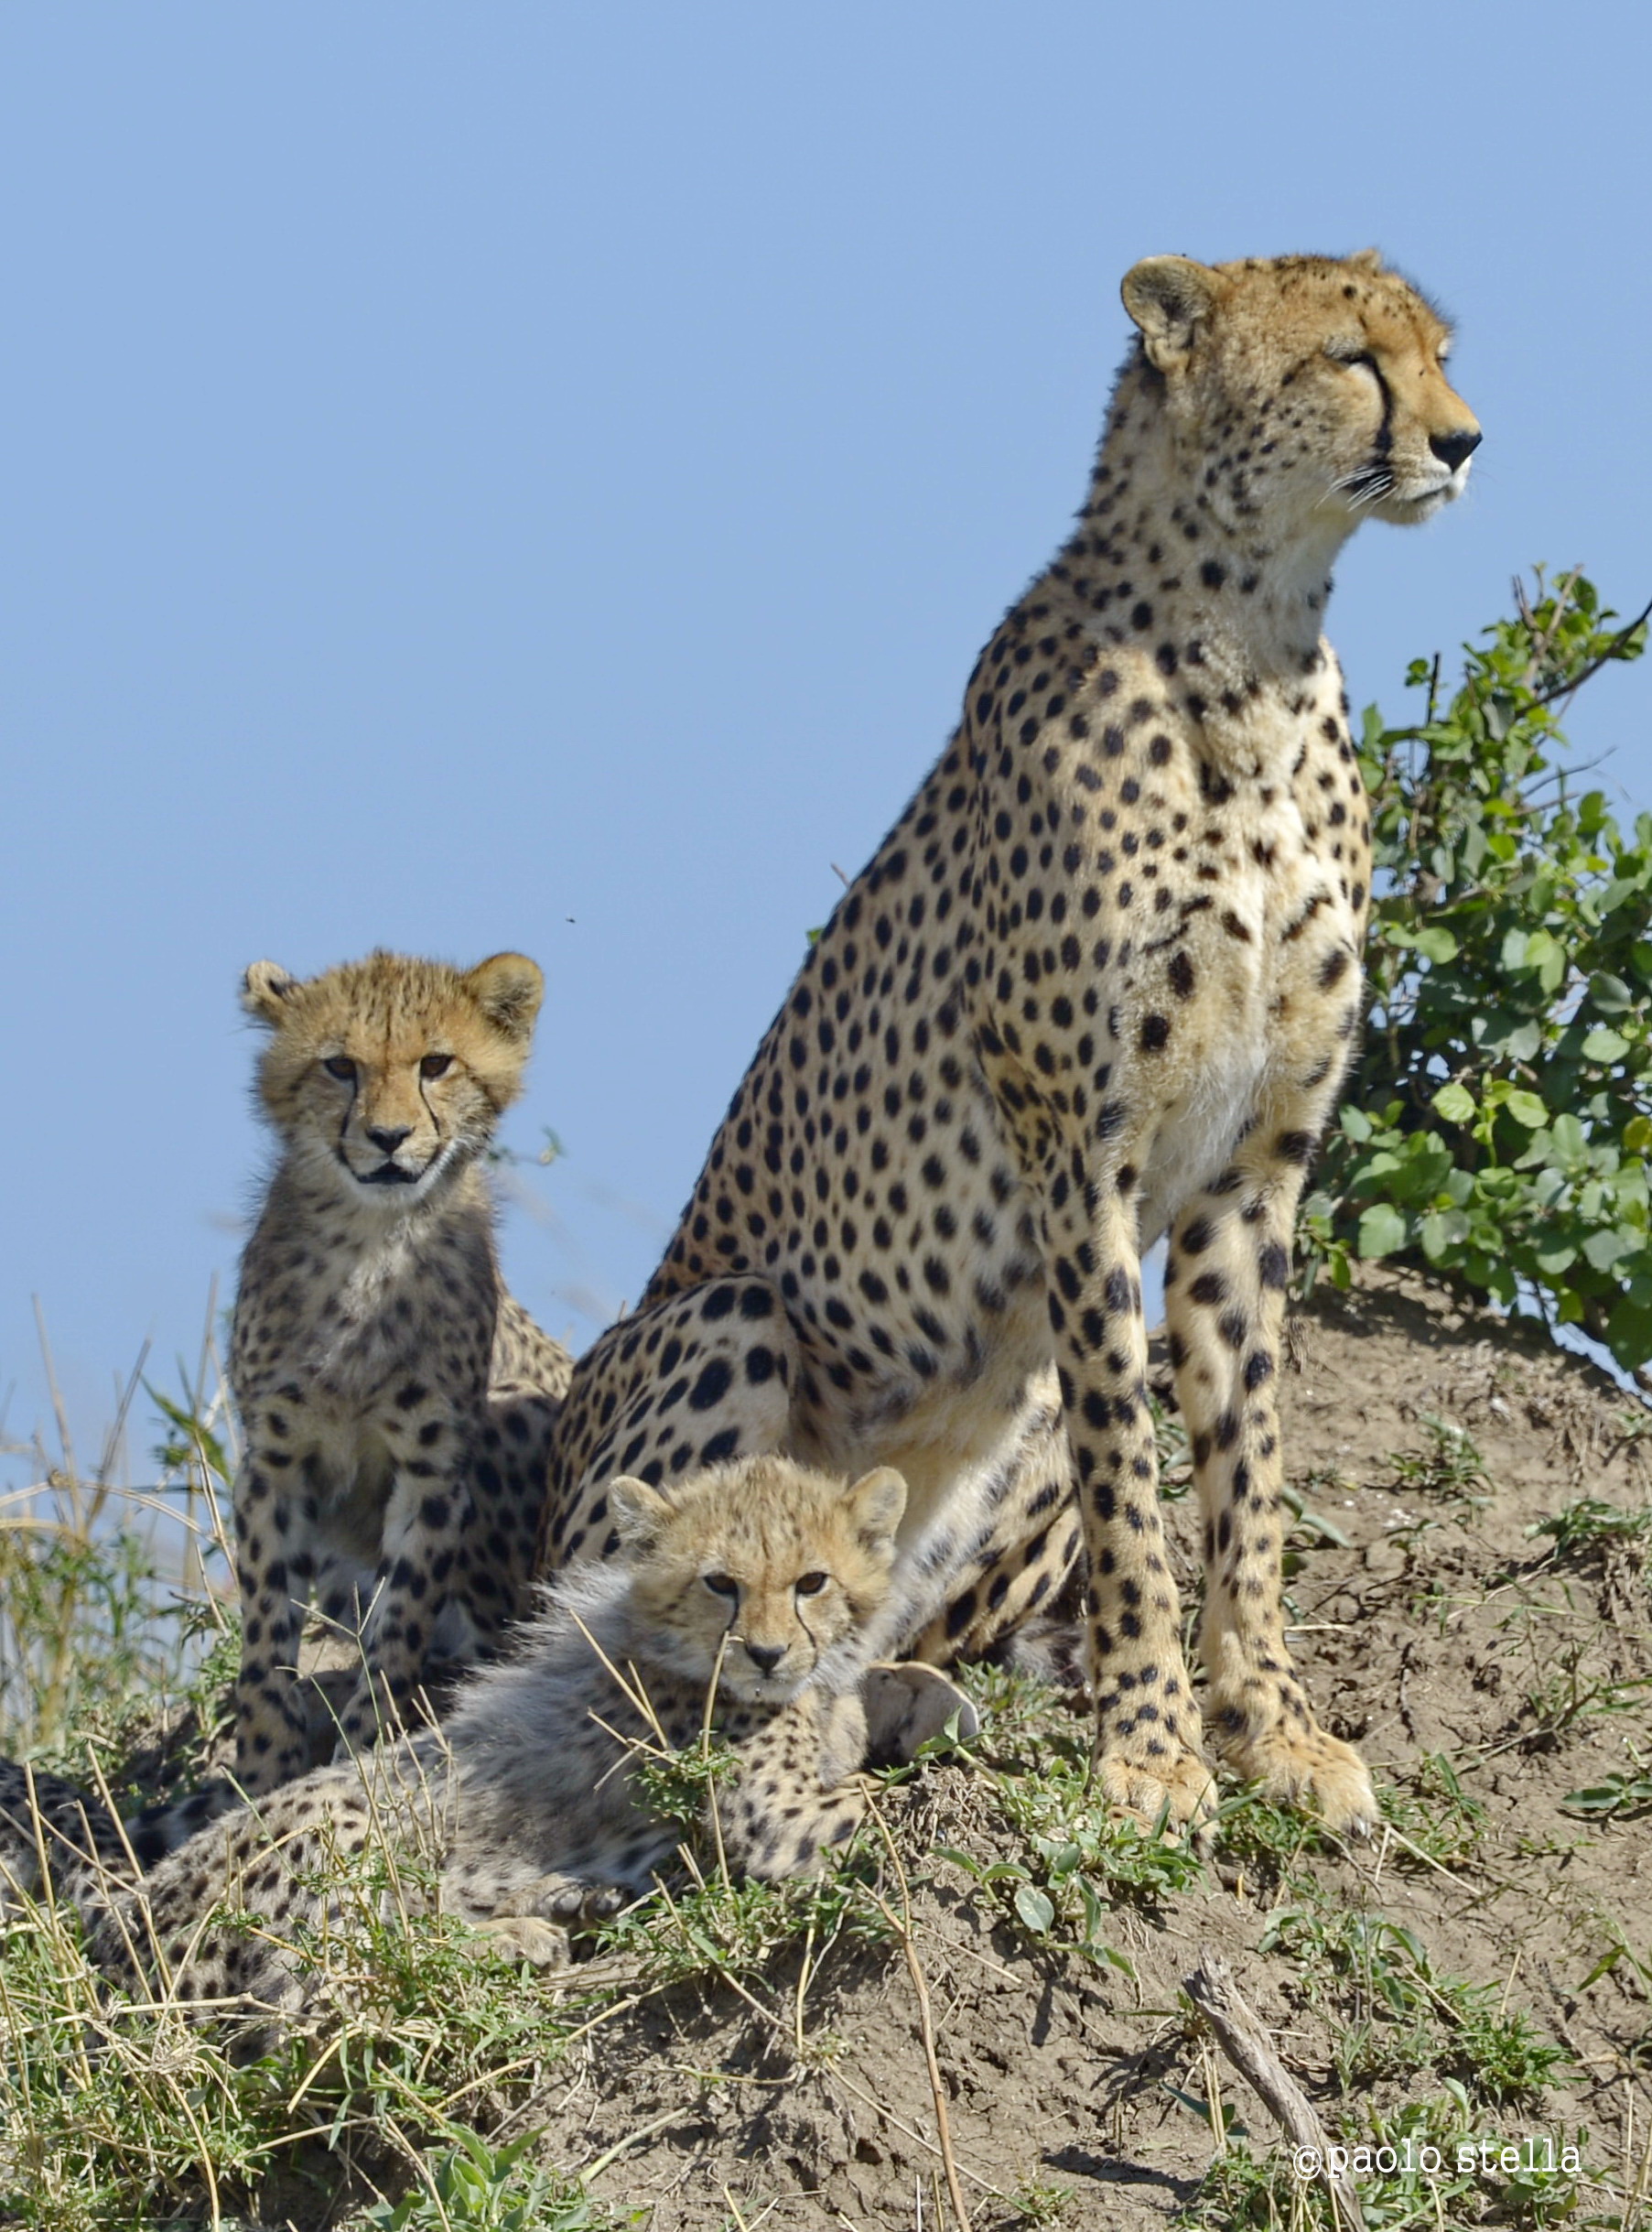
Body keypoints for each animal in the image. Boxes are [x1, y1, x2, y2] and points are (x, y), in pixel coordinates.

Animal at [535, 248, 1473, 1830]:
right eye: (1352, 357)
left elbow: (1246, 1473)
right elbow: (1131, 1486)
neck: (1259, 645)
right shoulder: (1074, 1151)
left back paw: (901, 1694)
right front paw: (1153, 1747)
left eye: (1442, 351)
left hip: (995, 1403)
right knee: (596, 1649)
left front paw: (1275, 1729)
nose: (1464, 442)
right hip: (729, 1319)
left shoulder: (1254, 1170)